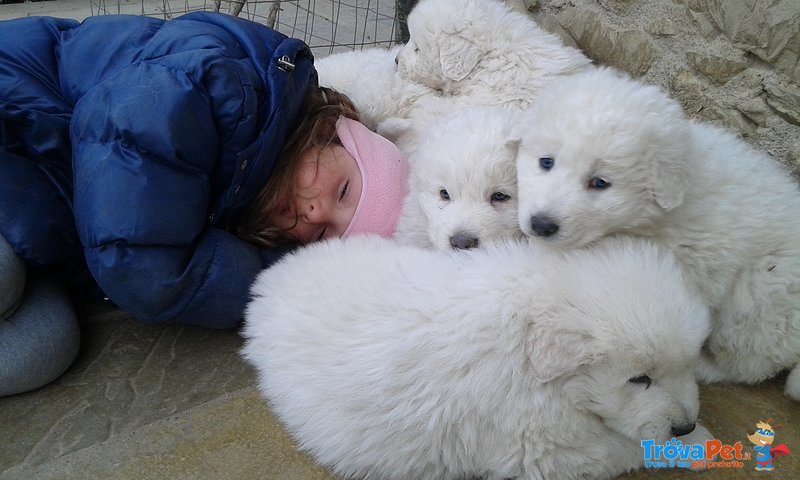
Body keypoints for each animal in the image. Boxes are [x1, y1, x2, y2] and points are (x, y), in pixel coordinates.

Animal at [242, 236, 712, 480]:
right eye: (639, 379)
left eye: (688, 365)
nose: (685, 424)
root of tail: (269, 279)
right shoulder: (538, 446)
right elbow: (622, 446)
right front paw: (695, 444)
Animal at [512, 65, 800, 400]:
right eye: (546, 162)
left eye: (600, 183)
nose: (541, 225)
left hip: (763, 293)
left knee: (752, 360)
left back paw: (709, 367)